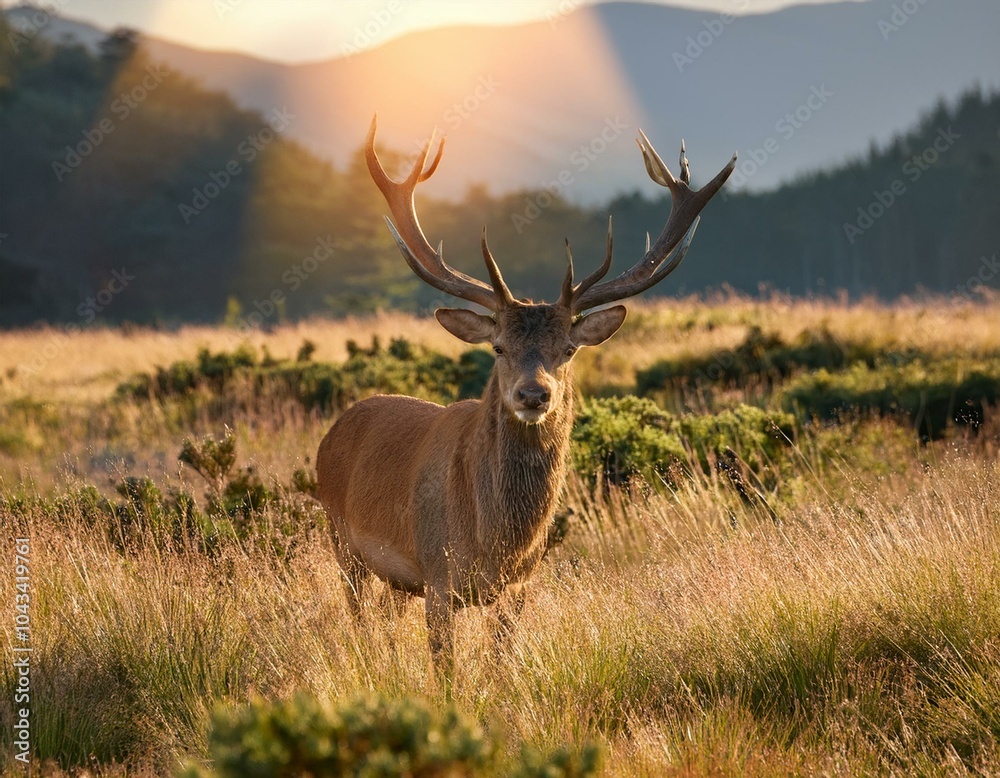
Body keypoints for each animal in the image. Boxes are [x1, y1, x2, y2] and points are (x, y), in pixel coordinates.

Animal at [316, 116, 735, 678]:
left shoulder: (521, 585)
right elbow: (446, 673)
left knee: (382, 618)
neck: (495, 543)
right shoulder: (437, 577)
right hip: (343, 543)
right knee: (359, 621)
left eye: (569, 349)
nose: (533, 393)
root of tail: (335, 428)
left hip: (393, 578)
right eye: (498, 346)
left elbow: (500, 665)